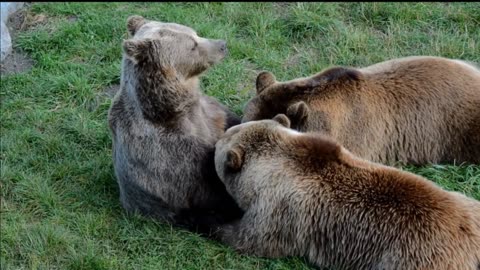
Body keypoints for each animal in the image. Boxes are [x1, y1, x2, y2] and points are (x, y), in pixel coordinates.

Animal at [109, 15, 244, 228]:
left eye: (196, 33)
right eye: (192, 45)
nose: (222, 45)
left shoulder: (210, 112)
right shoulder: (172, 152)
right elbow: (212, 184)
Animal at [212, 115, 480, 270]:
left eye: (220, 142)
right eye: (230, 129)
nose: (218, 137)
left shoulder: (279, 210)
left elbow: (251, 239)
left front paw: (214, 224)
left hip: (413, 258)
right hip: (469, 204)